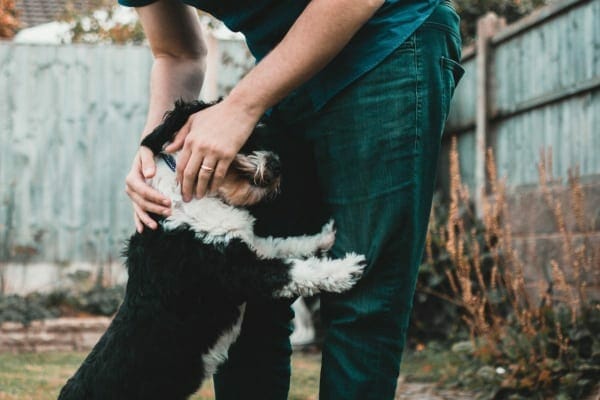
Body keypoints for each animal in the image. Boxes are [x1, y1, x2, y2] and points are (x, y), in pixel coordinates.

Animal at [58, 101, 364, 400]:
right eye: (244, 137)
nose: (277, 165)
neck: (188, 196)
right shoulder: (239, 271)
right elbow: (294, 270)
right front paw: (346, 269)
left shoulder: (250, 246)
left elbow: (286, 245)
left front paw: (324, 237)